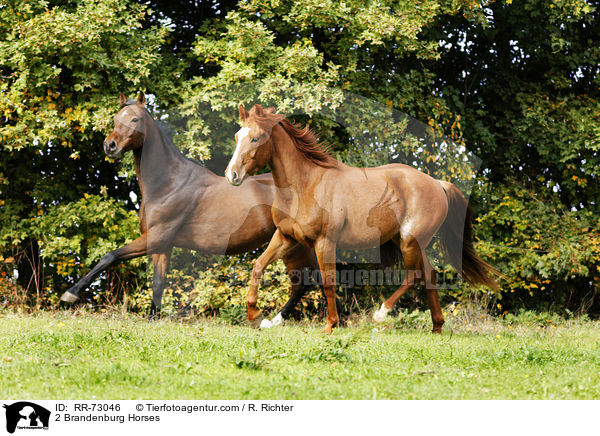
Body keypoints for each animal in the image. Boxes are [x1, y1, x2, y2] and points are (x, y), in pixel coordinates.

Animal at [61, 92, 318, 326]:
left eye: (135, 119)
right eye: (116, 118)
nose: (110, 145)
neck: (169, 184)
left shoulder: (156, 236)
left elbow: (109, 256)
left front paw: (70, 294)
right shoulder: (163, 246)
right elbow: (158, 282)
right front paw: (153, 318)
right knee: (304, 283)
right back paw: (274, 321)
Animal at [223, 103, 500, 334]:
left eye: (256, 138)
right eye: (237, 136)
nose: (232, 175)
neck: (305, 185)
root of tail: (437, 183)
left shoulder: (325, 242)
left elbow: (328, 283)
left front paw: (330, 326)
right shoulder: (286, 237)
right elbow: (258, 266)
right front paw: (256, 317)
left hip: (410, 241)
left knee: (413, 276)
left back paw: (381, 314)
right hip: (411, 243)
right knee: (429, 276)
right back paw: (437, 327)